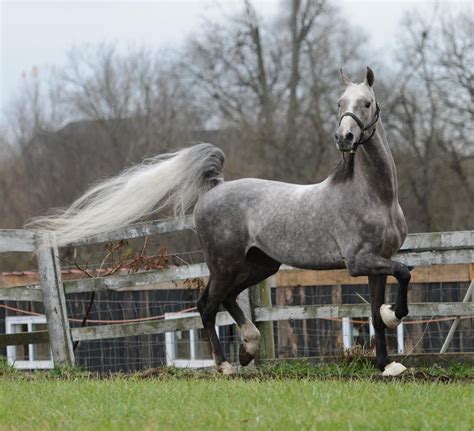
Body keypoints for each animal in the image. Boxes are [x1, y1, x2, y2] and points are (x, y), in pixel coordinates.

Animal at [33, 66, 412, 378]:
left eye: (367, 103)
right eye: (339, 103)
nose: (343, 138)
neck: (374, 197)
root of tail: (214, 188)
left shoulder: (377, 261)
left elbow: (376, 311)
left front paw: (387, 364)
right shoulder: (357, 262)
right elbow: (405, 273)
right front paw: (396, 316)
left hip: (260, 264)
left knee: (227, 299)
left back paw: (248, 349)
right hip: (224, 263)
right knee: (208, 304)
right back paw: (225, 364)